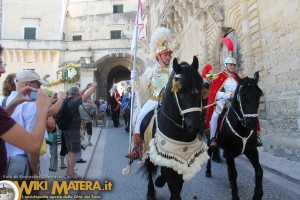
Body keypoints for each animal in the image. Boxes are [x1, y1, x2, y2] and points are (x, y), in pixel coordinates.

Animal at [139, 56, 207, 200]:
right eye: (180, 91)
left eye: (201, 89)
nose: (195, 125)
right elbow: (173, 187)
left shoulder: (181, 159)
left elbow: (178, 186)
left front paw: (161, 181)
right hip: (147, 150)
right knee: (149, 170)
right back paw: (150, 192)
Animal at [205, 72, 264, 200]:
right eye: (242, 95)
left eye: (259, 95)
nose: (252, 123)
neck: (242, 128)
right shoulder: (230, 152)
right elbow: (234, 173)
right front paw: (235, 195)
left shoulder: (252, 150)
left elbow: (259, 171)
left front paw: (257, 194)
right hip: (209, 139)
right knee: (209, 152)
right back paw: (208, 171)